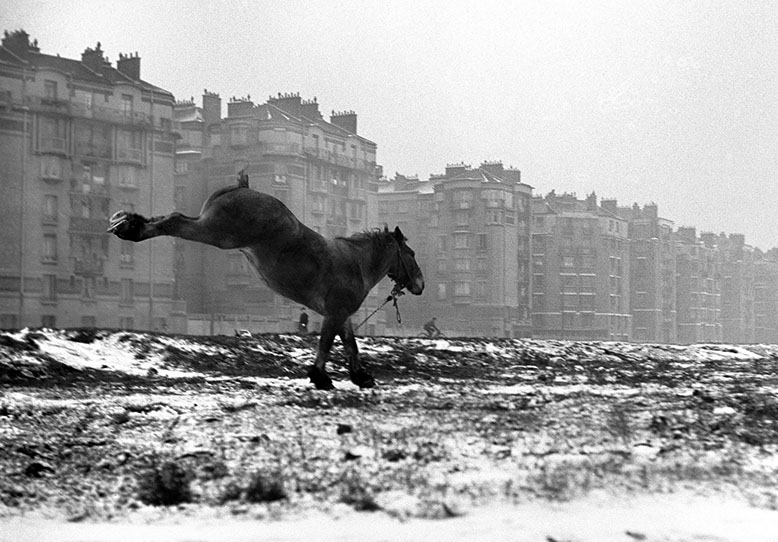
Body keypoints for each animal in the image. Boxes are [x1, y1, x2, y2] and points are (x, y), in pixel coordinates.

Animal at [106, 172, 422, 388]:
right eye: (411, 253)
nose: (420, 284)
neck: (355, 262)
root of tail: (242, 187)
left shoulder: (341, 314)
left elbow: (349, 344)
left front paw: (360, 376)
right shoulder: (334, 313)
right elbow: (327, 344)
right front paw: (320, 377)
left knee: (170, 217)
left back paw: (128, 222)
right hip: (215, 233)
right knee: (173, 220)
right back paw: (130, 228)